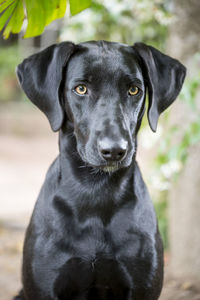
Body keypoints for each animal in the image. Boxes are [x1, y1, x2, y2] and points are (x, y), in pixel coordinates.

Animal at [14, 40, 186, 300]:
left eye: (134, 90)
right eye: (81, 89)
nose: (114, 150)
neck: (96, 193)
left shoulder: (141, 287)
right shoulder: (45, 287)